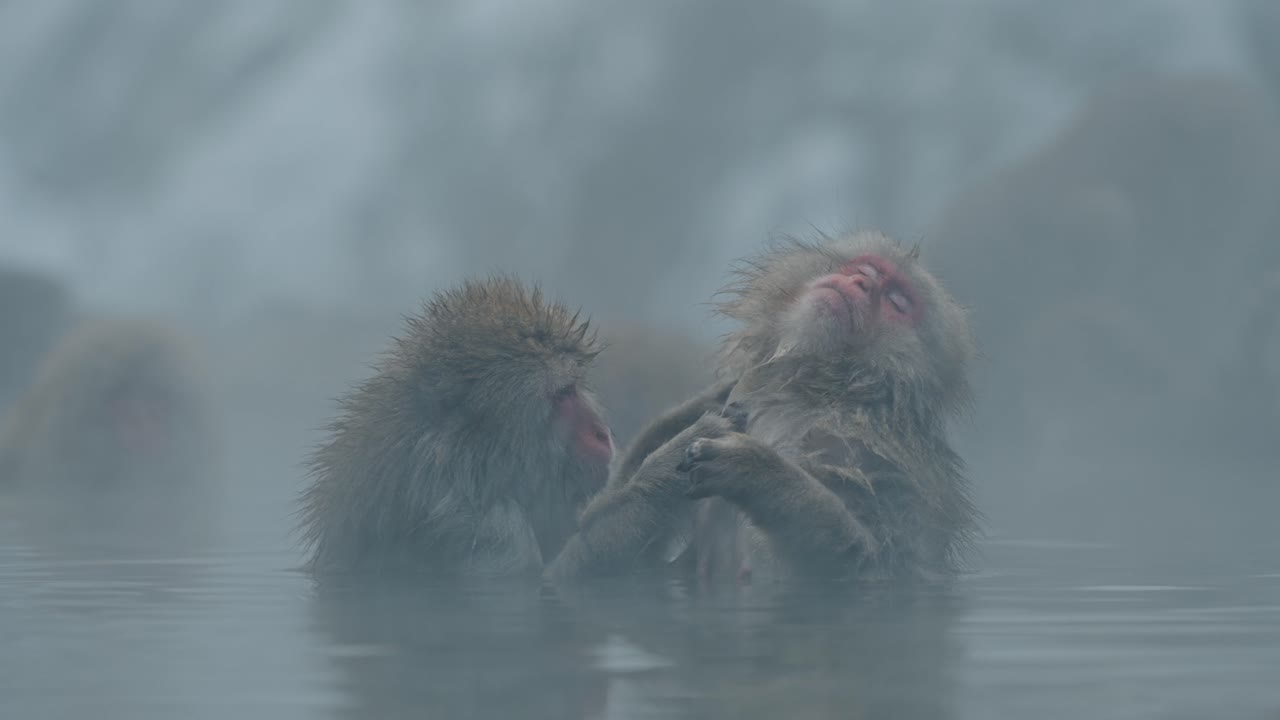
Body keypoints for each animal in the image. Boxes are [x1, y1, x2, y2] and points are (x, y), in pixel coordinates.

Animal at [548, 231, 978, 583]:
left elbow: (873, 565)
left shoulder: (878, 457)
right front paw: (685, 426)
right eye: (865, 269)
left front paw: (754, 469)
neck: (813, 389)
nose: (861, 283)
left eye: (897, 301)